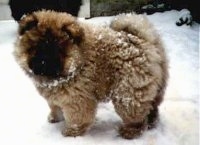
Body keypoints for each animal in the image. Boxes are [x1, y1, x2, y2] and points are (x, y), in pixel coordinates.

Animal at [13, 10, 168, 139]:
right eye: (36, 47)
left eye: (56, 50)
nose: (43, 61)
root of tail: (141, 39)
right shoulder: (55, 96)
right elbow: (54, 106)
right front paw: (54, 118)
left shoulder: (76, 98)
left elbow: (77, 118)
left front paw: (71, 133)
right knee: (152, 107)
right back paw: (150, 123)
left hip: (127, 93)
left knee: (135, 114)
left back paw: (130, 132)